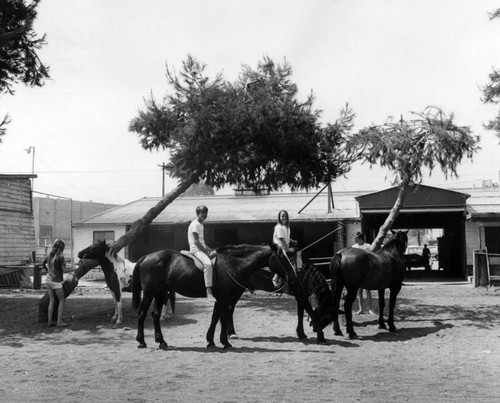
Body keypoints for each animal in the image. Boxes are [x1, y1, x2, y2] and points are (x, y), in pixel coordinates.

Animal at [131, 243, 298, 350]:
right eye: (282, 258)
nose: (293, 276)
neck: (232, 264)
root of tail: (145, 257)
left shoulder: (220, 298)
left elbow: (215, 317)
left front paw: (210, 341)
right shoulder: (224, 298)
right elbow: (223, 318)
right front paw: (225, 342)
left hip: (160, 293)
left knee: (155, 314)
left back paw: (161, 341)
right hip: (149, 293)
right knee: (141, 313)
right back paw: (141, 341)